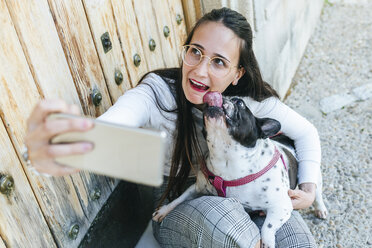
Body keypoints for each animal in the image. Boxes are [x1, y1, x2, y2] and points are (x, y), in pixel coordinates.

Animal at [153, 92, 326, 247]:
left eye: (241, 103)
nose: (218, 95)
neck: (226, 158)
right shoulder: (197, 188)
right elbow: (180, 198)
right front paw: (164, 210)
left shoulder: (281, 206)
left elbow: (267, 227)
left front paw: (268, 243)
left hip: (315, 177)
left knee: (316, 193)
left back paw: (321, 209)